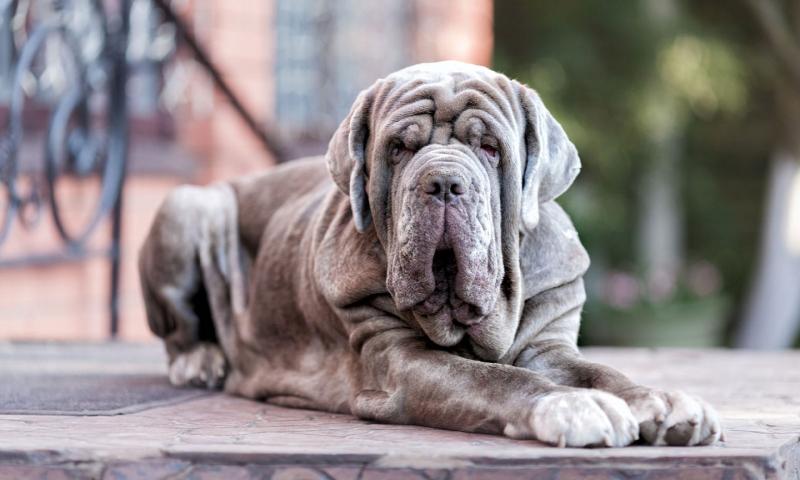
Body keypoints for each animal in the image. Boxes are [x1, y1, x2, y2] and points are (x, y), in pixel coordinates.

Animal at [141, 62, 720, 448]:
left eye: (490, 148)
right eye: (399, 148)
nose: (443, 182)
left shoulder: (549, 346)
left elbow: (602, 372)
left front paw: (663, 401)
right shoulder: (399, 360)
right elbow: (494, 378)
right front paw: (571, 405)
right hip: (191, 205)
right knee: (179, 331)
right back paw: (200, 360)